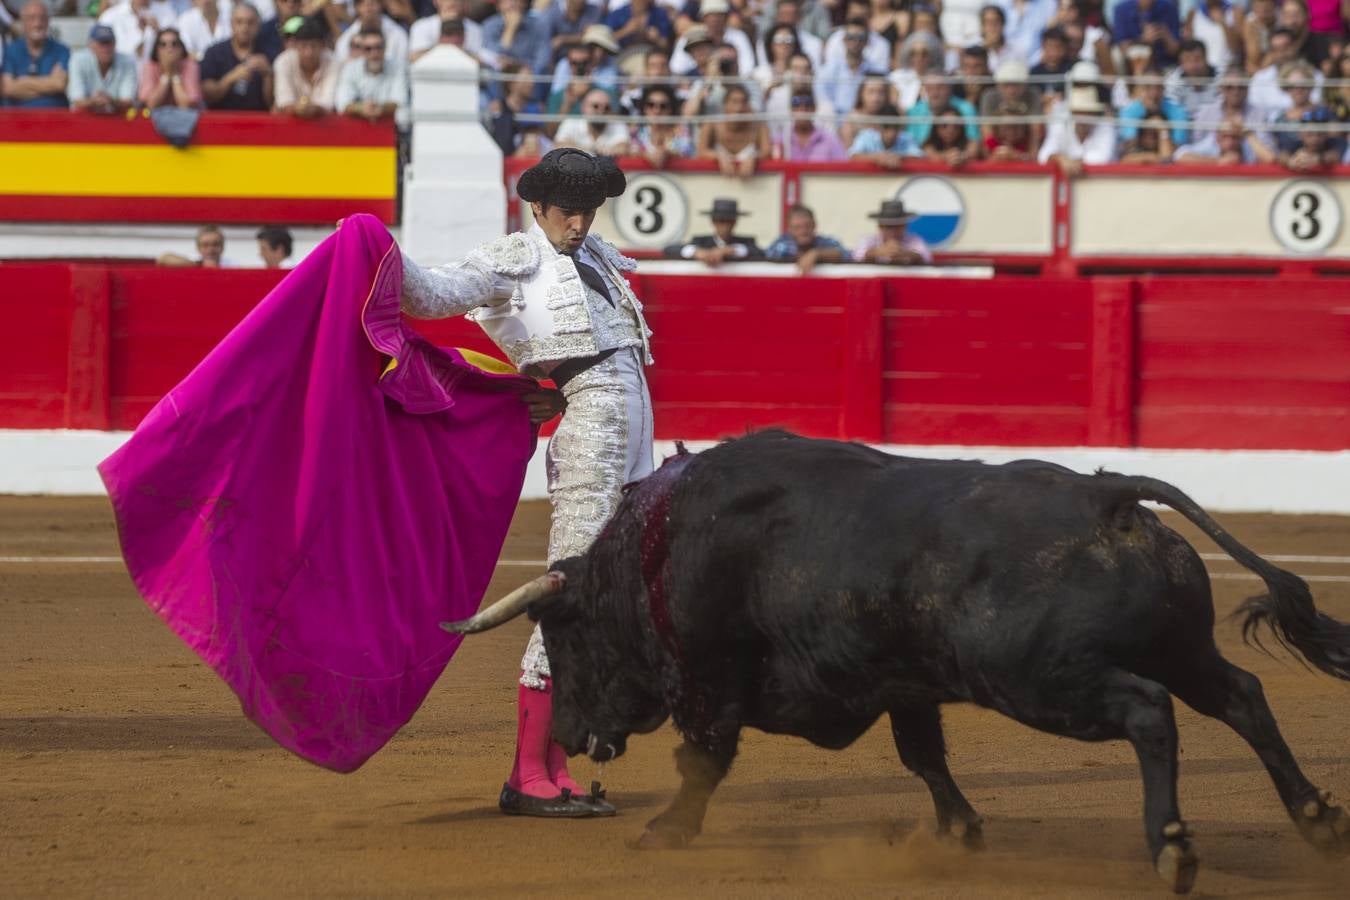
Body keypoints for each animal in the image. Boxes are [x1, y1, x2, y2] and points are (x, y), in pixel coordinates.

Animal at [450, 431, 1350, 890]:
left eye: (566, 634)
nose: (569, 731)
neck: (659, 548)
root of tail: (1109, 495)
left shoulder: (711, 676)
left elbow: (704, 759)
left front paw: (666, 831)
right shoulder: (903, 683)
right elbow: (924, 757)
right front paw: (959, 832)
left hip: (1041, 679)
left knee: (1148, 711)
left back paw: (1171, 845)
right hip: (1179, 645)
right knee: (1241, 695)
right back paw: (1314, 817)